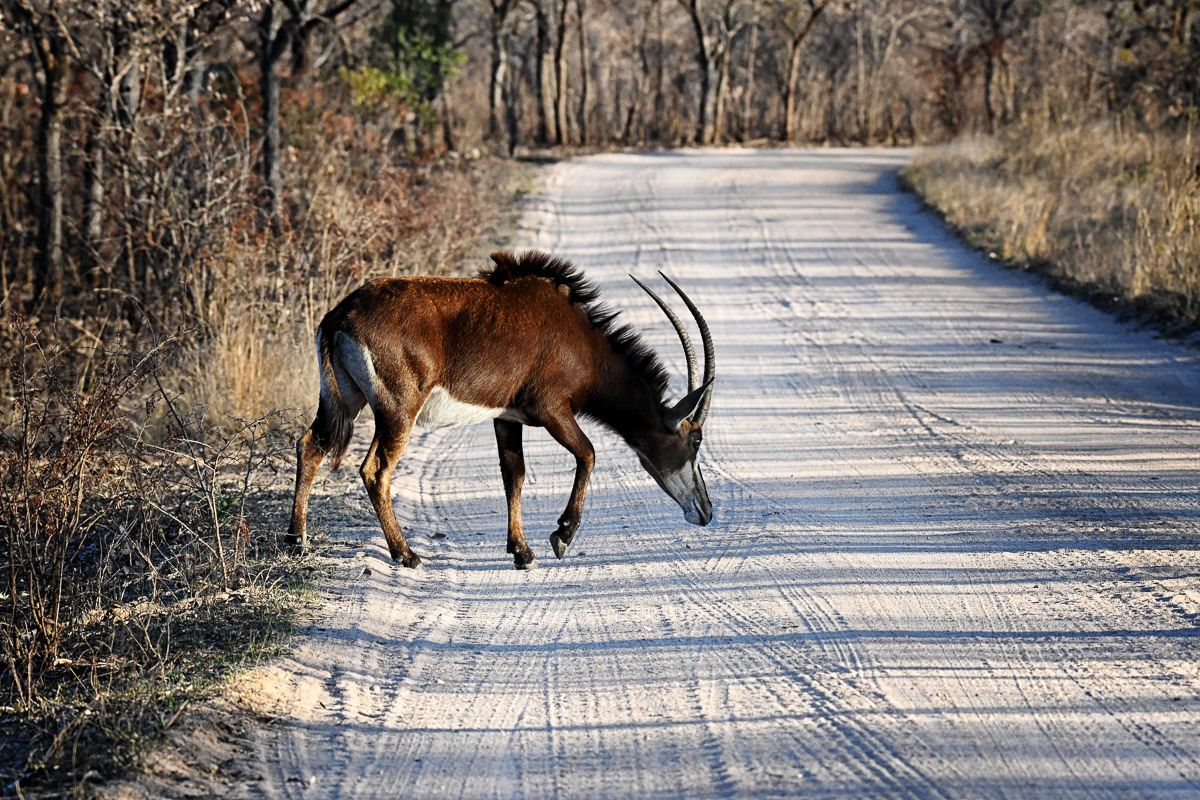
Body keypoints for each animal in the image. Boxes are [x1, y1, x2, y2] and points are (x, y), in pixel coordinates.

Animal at [285, 250, 714, 570]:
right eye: (695, 441)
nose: (706, 511)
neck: (584, 342)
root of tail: (341, 316)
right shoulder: (552, 409)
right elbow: (588, 454)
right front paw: (562, 536)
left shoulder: (506, 416)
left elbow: (514, 474)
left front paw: (521, 552)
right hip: (398, 411)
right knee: (375, 470)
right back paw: (406, 554)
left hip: (345, 399)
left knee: (311, 446)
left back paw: (297, 543)